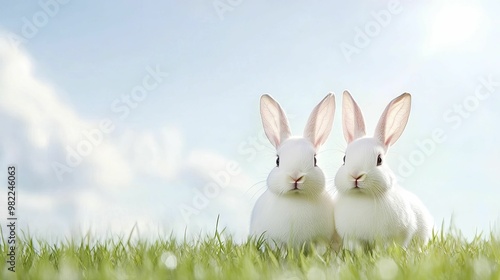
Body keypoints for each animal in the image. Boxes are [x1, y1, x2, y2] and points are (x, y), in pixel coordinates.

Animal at [252, 93, 338, 248]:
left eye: (315, 160)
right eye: (277, 161)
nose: (295, 177)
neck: (297, 198)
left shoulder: (321, 241)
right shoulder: (276, 241)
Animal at [334, 91, 436, 248]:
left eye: (379, 160)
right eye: (344, 159)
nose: (356, 176)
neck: (362, 197)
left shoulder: (392, 237)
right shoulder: (352, 238)